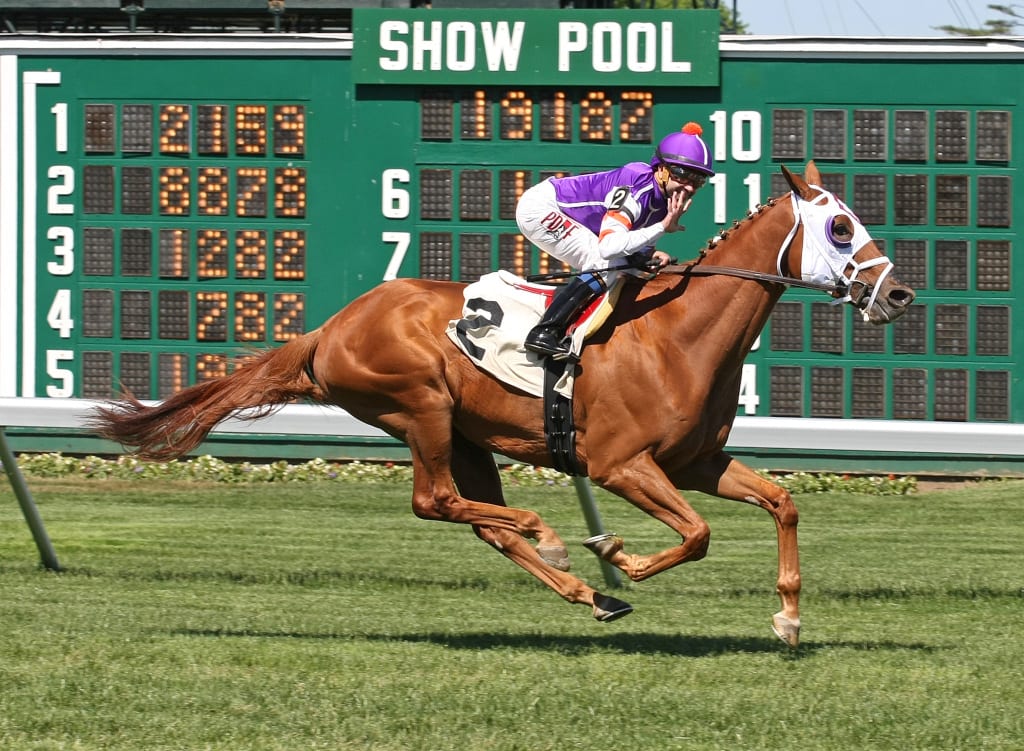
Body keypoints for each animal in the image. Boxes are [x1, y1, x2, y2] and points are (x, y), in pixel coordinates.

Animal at [92, 163, 917, 643]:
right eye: (840, 225)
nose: (899, 293)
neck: (675, 333)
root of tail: (330, 328)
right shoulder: (620, 464)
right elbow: (699, 534)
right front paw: (619, 552)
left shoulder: (695, 461)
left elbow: (780, 503)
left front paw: (788, 614)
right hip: (419, 406)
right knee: (435, 501)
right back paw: (555, 539)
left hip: (465, 432)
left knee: (475, 515)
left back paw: (588, 592)